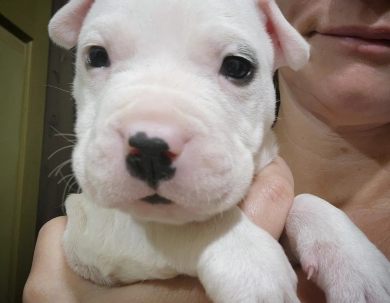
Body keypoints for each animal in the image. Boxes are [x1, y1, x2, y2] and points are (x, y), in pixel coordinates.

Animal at [48, 0, 390, 303]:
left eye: (237, 67)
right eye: (96, 55)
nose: (150, 149)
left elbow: (306, 200)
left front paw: (357, 262)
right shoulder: (89, 228)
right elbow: (188, 223)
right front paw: (251, 264)